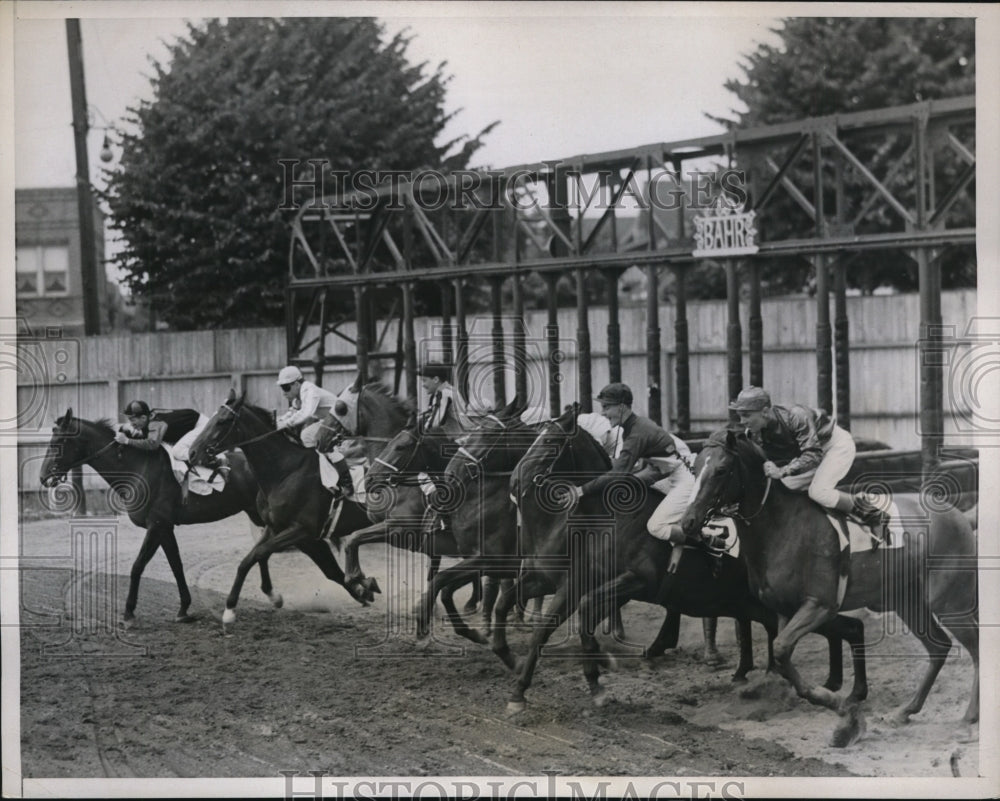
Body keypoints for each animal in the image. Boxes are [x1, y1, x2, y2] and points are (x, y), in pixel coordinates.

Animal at [40, 410, 266, 628]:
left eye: (58, 442)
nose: (43, 477)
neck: (136, 469)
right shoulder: (165, 528)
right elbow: (176, 565)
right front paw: (183, 610)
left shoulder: (157, 525)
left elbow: (137, 566)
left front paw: (129, 613)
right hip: (256, 513)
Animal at [186, 390, 376, 628]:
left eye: (223, 420)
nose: (192, 453)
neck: (285, 471)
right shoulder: (280, 529)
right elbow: (251, 559)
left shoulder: (302, 531)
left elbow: (260, 553)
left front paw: (234, 609)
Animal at [500, 406, 860, 720]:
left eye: (549, 440)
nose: (514, 479)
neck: (609, 518)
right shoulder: (573, 581)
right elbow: (534, 618)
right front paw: (518, 687)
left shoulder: (633, 580)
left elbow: (581, 613)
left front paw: (597, 681)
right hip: (756, 601)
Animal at [680, 432, 976, 744]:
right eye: (694, 469)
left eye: (721, 470)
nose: (688, 521)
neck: (782, 527)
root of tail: (958, 515)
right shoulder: (784, 610)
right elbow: (781, 657)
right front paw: (843, 707)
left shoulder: (819, 605)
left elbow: (782, 648)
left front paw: (844, 712)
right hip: (908, 602)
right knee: (939, 647)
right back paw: (904, 711)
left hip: (949, 601)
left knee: (975, 646)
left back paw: (968, 718)